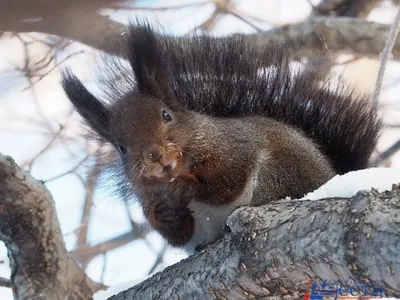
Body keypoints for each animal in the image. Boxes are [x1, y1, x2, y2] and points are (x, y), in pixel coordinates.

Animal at [59, 21, 382, 253]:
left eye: (166, 115)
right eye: (121, 147)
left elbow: (226, 181)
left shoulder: (234, 147)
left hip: (278, 174)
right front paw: (162, 214)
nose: (155, 156)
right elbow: (177, 235)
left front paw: (187, 188)